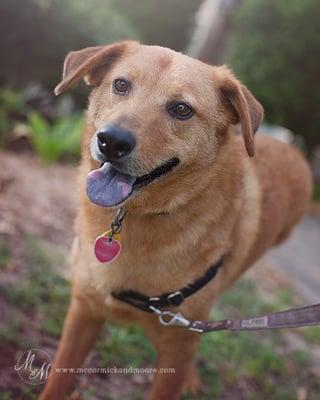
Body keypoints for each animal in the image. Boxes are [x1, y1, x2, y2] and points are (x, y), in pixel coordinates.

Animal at [40, 41, 312, 400]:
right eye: (121, 85)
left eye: (182, 109)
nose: (111, 141)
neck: (136, 217)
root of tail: (293, 148)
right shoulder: (83, 312)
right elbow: (58, 379)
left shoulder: (176, 345)